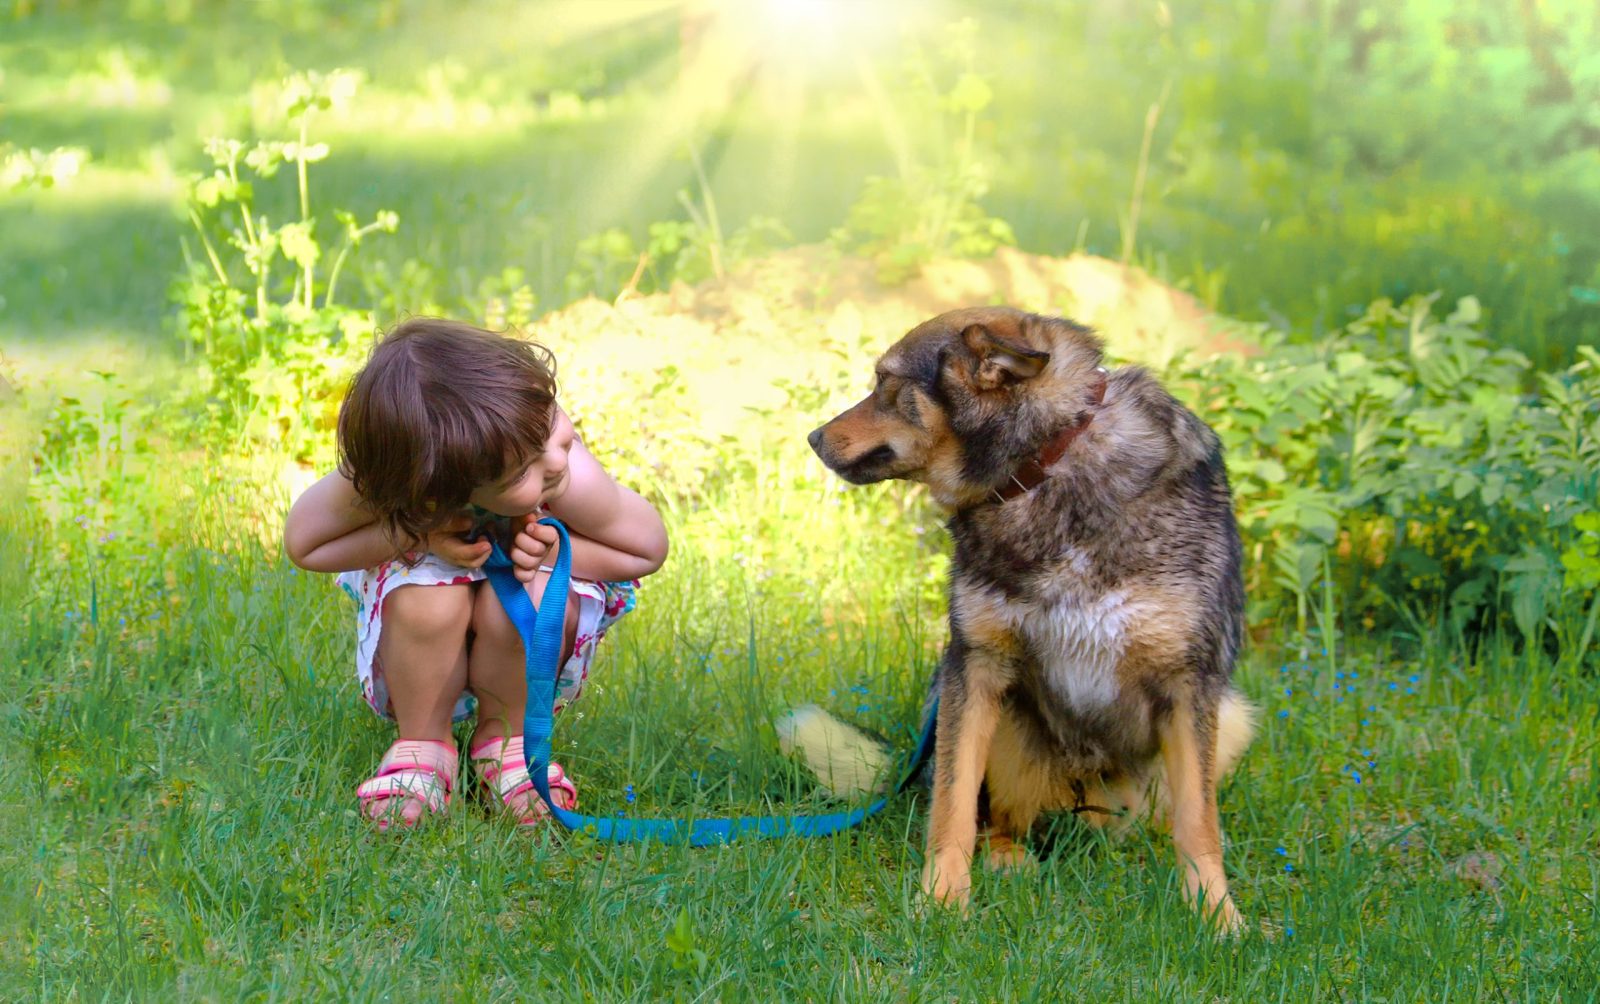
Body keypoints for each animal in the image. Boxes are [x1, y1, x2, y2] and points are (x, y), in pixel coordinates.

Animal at [812, 305, 1248, 933]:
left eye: (887, 384)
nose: (813, 438)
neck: (1047, 468)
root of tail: (1082, 806)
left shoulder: (1189, 683)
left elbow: (1199, 824)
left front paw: (1215, 915)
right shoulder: (974, 666)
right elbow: (952, 806)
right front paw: (940, 900)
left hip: (1230, 719)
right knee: (1001, 822)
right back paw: (1009, 859)